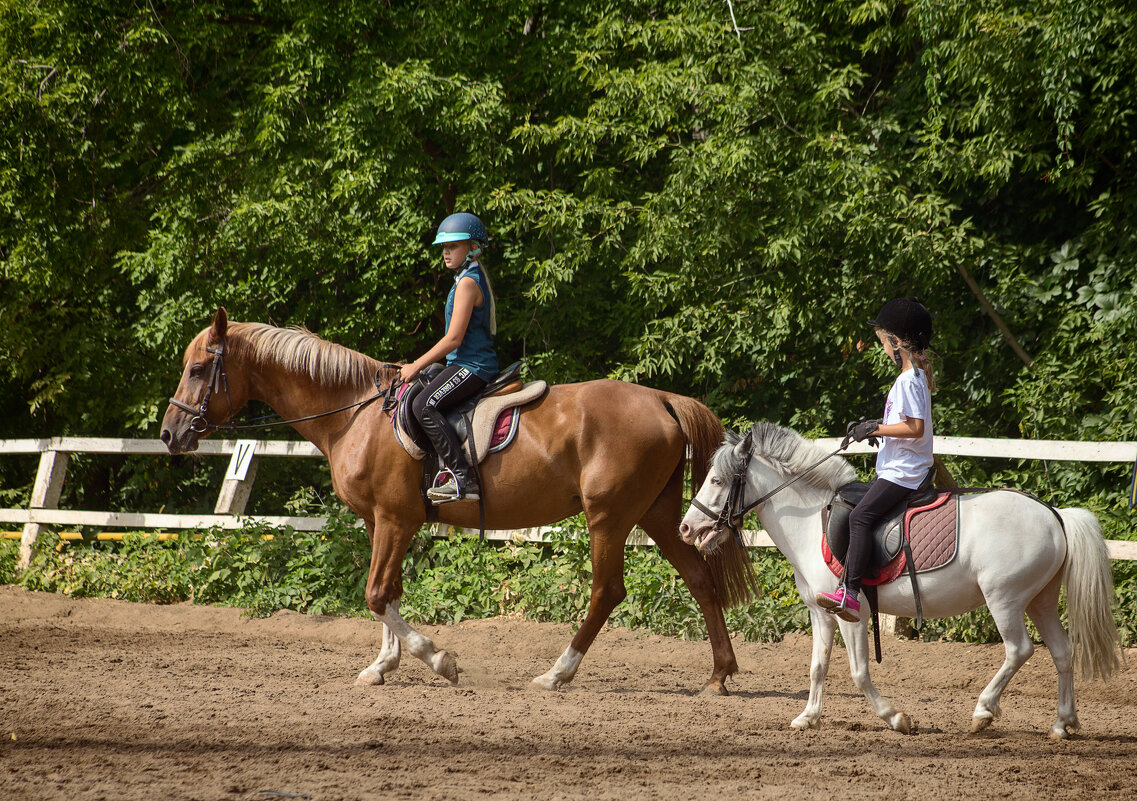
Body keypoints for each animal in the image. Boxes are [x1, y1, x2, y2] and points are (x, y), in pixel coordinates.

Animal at [160, 309, 754, 691]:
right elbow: (388, 593)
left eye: (197, 369)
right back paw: (719, 674)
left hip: (608, 517)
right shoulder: (383, 522)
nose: (170, 433)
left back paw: (556, 674)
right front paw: (383, 667)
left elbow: (377, 594)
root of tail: (660, 398)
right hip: (656, 514)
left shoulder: (395, 519)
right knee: (699, 579)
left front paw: (439, 660)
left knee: (608, 591)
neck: (355, 413)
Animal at [673, 425, 1118, 737]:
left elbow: (858, 672)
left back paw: (983, 712)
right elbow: (817, 666)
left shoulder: (851, 614)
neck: (810, 519)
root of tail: (1054, 514)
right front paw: (808, 717)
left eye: (716, 480)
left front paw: (896, 718)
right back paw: (1062, 724)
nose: (686, 528)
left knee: (1019, 650)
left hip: (1004, 599)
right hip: (1039, 599)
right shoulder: (820, 613)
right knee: (1062, 652)